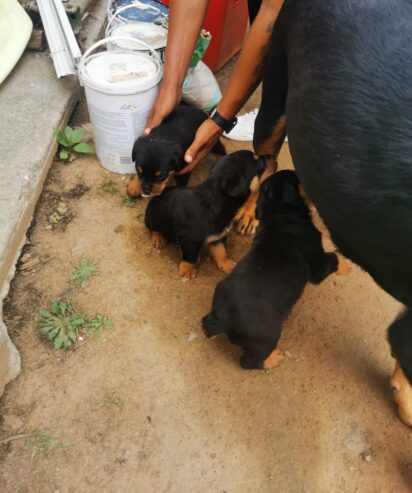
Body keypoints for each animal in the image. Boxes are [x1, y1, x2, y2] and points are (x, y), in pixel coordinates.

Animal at [143, 150, 262, 278]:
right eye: (258, 163)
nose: (268, 159)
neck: (216, 200)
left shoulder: (218, 236)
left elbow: (221, 251)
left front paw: (226, 264)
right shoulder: (190, 241)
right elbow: (191, 258)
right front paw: (187, 270)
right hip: (151, 217)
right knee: (153, 229)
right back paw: (158, 238)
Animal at [202, 172, 344, 368]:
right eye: (296, 179)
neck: (279, 212)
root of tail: (223, 318)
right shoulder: (317, 266)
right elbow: (333, 260)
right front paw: (346, 266)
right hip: (267, 336)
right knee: (250, 361)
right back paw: (273, 359)